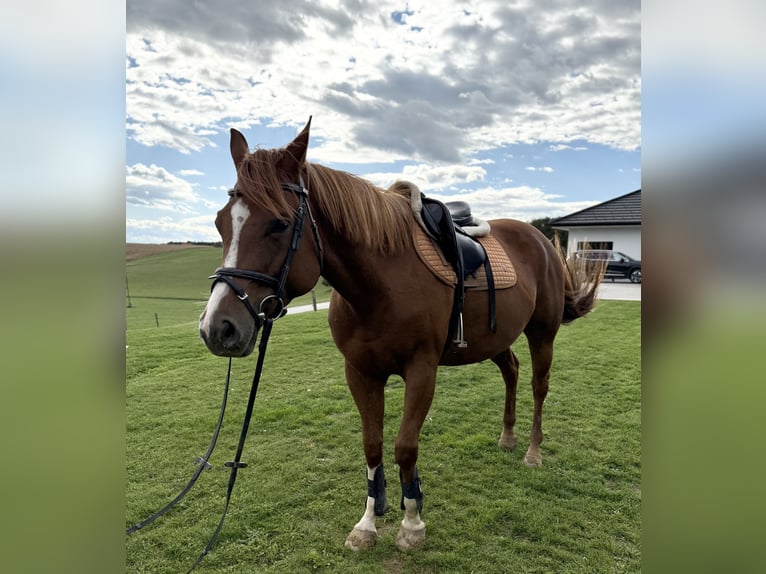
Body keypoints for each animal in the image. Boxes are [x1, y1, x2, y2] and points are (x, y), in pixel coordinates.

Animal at [198, 118, 603, 551]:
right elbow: (372, 445)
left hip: (542, 334)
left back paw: (532, 451)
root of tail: (540, 239)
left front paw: (412, 523)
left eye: (279, 223)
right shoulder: (360, 372)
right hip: (496, 338)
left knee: (538, 385)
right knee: (511, 371)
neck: (381, 284)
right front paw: (368, 522)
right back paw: (507, 437)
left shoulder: (421, 371)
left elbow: (405, 447)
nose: (217, 327)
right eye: (221, 222)